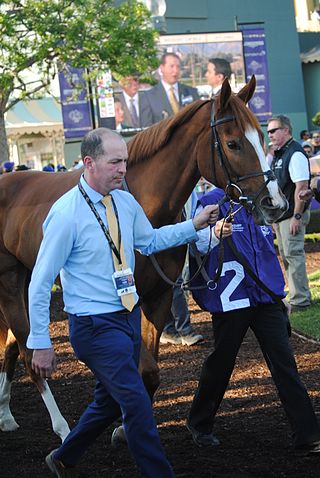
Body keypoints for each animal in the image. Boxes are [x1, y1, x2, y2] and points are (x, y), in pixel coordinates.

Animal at [0, 77, 286, 440]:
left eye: (263, 138)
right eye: (233, 143)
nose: (275, 203)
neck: (146, 206)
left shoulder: (159, 296)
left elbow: (149, 370)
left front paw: (126, 426)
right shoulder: (127, 301)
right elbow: (139, 367)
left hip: (28, 278)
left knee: (9, 345)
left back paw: (5, 414)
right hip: (9, 281)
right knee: (27, 352)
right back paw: (62, 427)